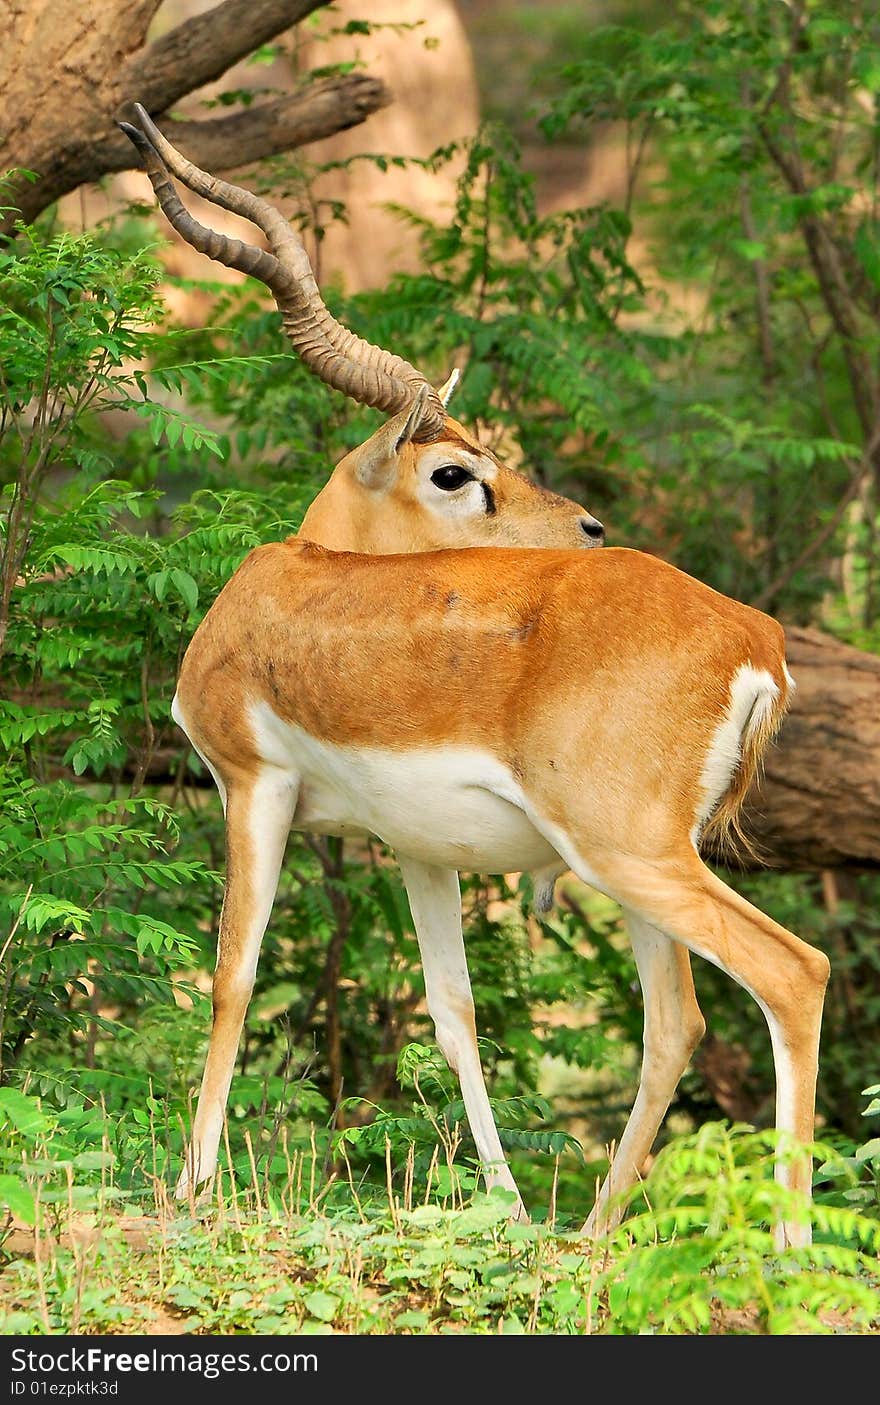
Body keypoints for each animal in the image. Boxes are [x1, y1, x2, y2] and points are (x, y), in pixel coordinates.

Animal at [120, 112, 826, 1253]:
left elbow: (230, 973)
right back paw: (588, 1235)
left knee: (790, 973)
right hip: (638, 863)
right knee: (674, 1019)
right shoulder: (418, 849)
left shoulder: (252, 785)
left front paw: (192, 1187)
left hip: (628, 852)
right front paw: (505, 1206)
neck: (287, 583)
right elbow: (453, 1013)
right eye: (455, 470)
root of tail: (750, 637)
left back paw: (790, 1253)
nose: (586, 525)